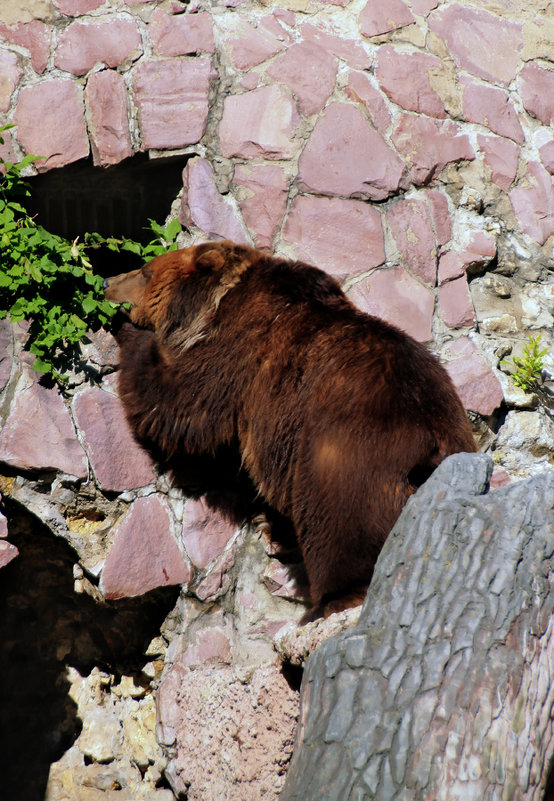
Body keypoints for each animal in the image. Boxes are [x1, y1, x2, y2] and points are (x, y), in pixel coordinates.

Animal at [104, 241, 474, 620]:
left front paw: (129, 333)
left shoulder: (237, 348)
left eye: (145, 271)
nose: (107, 282)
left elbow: (182, 399)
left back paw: (332, 598)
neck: (214, 303)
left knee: (337, 526)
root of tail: (431, 437)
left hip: (344, 451)